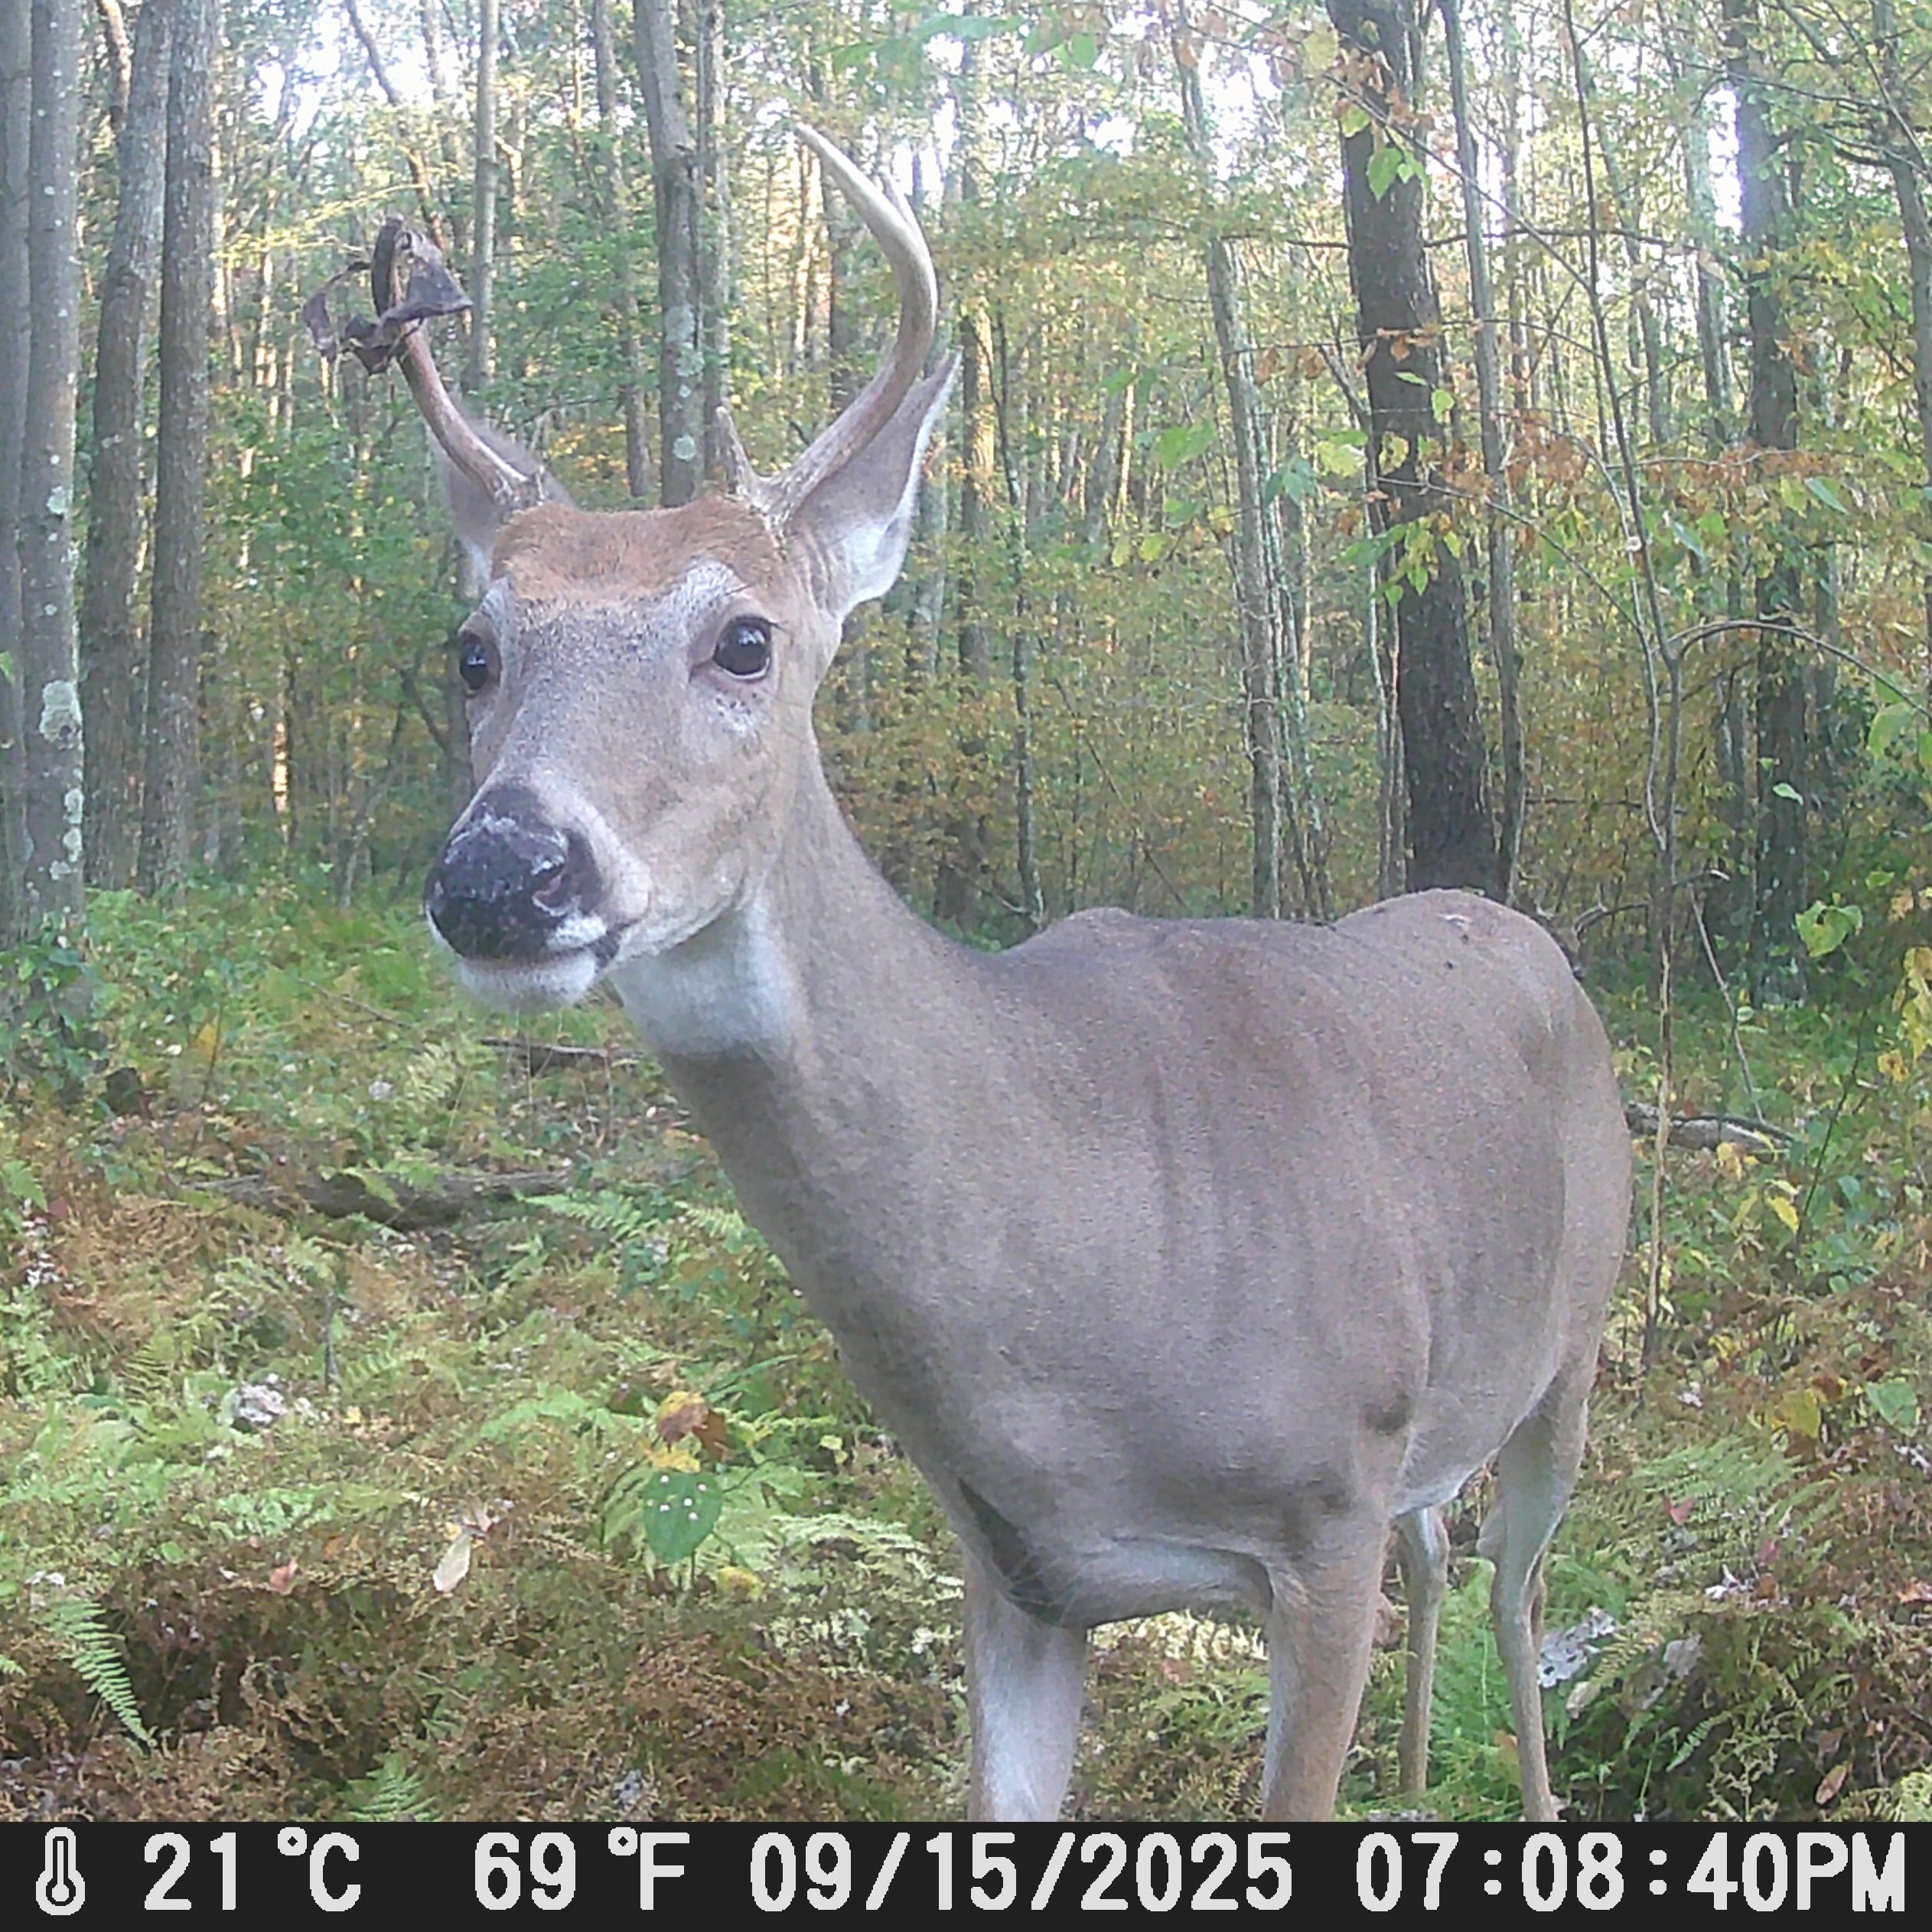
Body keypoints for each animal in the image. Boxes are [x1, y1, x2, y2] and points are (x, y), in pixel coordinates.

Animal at [389, 129, 1631, 1821]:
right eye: (472, 650)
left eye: (744, 639)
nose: (502, 873)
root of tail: (1524, 935)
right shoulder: (1014, 1568)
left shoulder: (1324, 1507)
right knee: (1447, 1553)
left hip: (1573, 1333)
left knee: (1517, 1578)